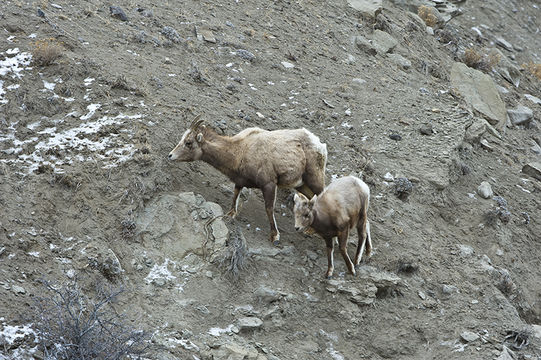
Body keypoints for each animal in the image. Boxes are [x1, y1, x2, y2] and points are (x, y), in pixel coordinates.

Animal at [167, 115, 326, 245]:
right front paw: (230, 214)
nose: (170, 155)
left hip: (314, 180)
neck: (241, 150)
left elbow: (269, 208)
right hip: (302, 185)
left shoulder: (269, 184)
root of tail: (319, 144)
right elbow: (235, 194)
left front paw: (275, 236)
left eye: (188, 142)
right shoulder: (240, 181)